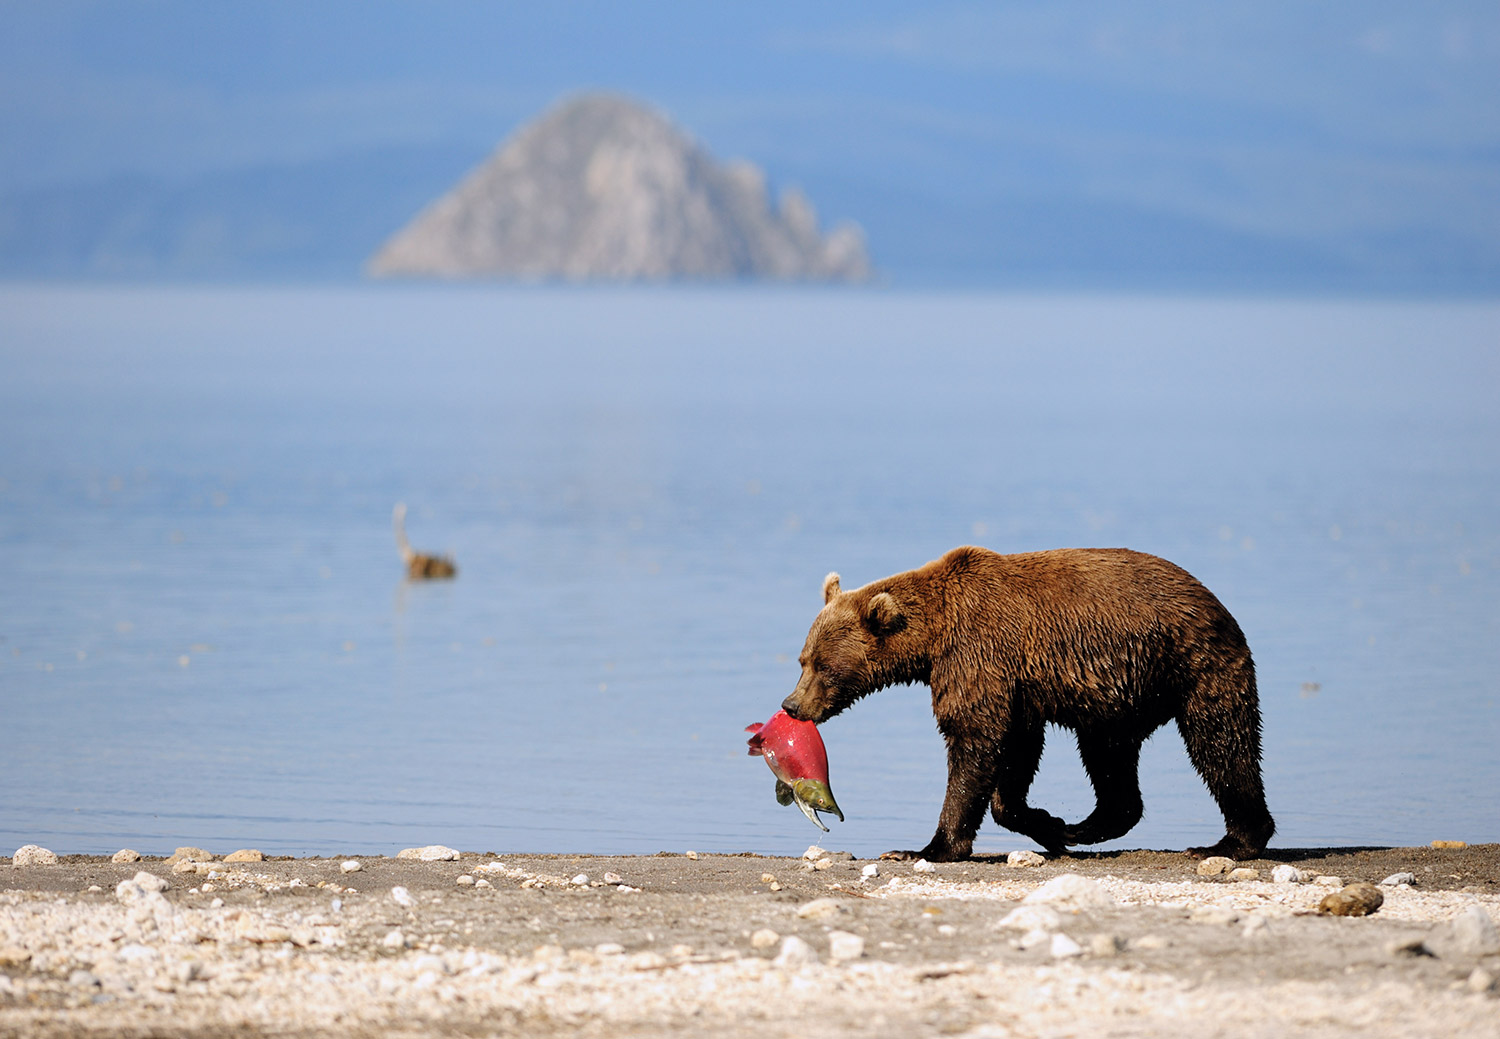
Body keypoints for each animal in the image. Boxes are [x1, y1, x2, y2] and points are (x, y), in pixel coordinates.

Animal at [786, 542, 1278, 857]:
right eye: (803, 659)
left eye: (824, 668)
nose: (792, 705)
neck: (931, 638)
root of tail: (1214, 600)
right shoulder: (1018, 687)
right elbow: (1014, 754)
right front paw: (1048, 825)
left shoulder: (977, 655)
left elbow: (974, 741)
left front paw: (928, 847)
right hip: (1117, 697)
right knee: (1109, 757)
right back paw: (1085, 827)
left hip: (1194, 664)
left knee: (1221, 744)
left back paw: (1232, 842)